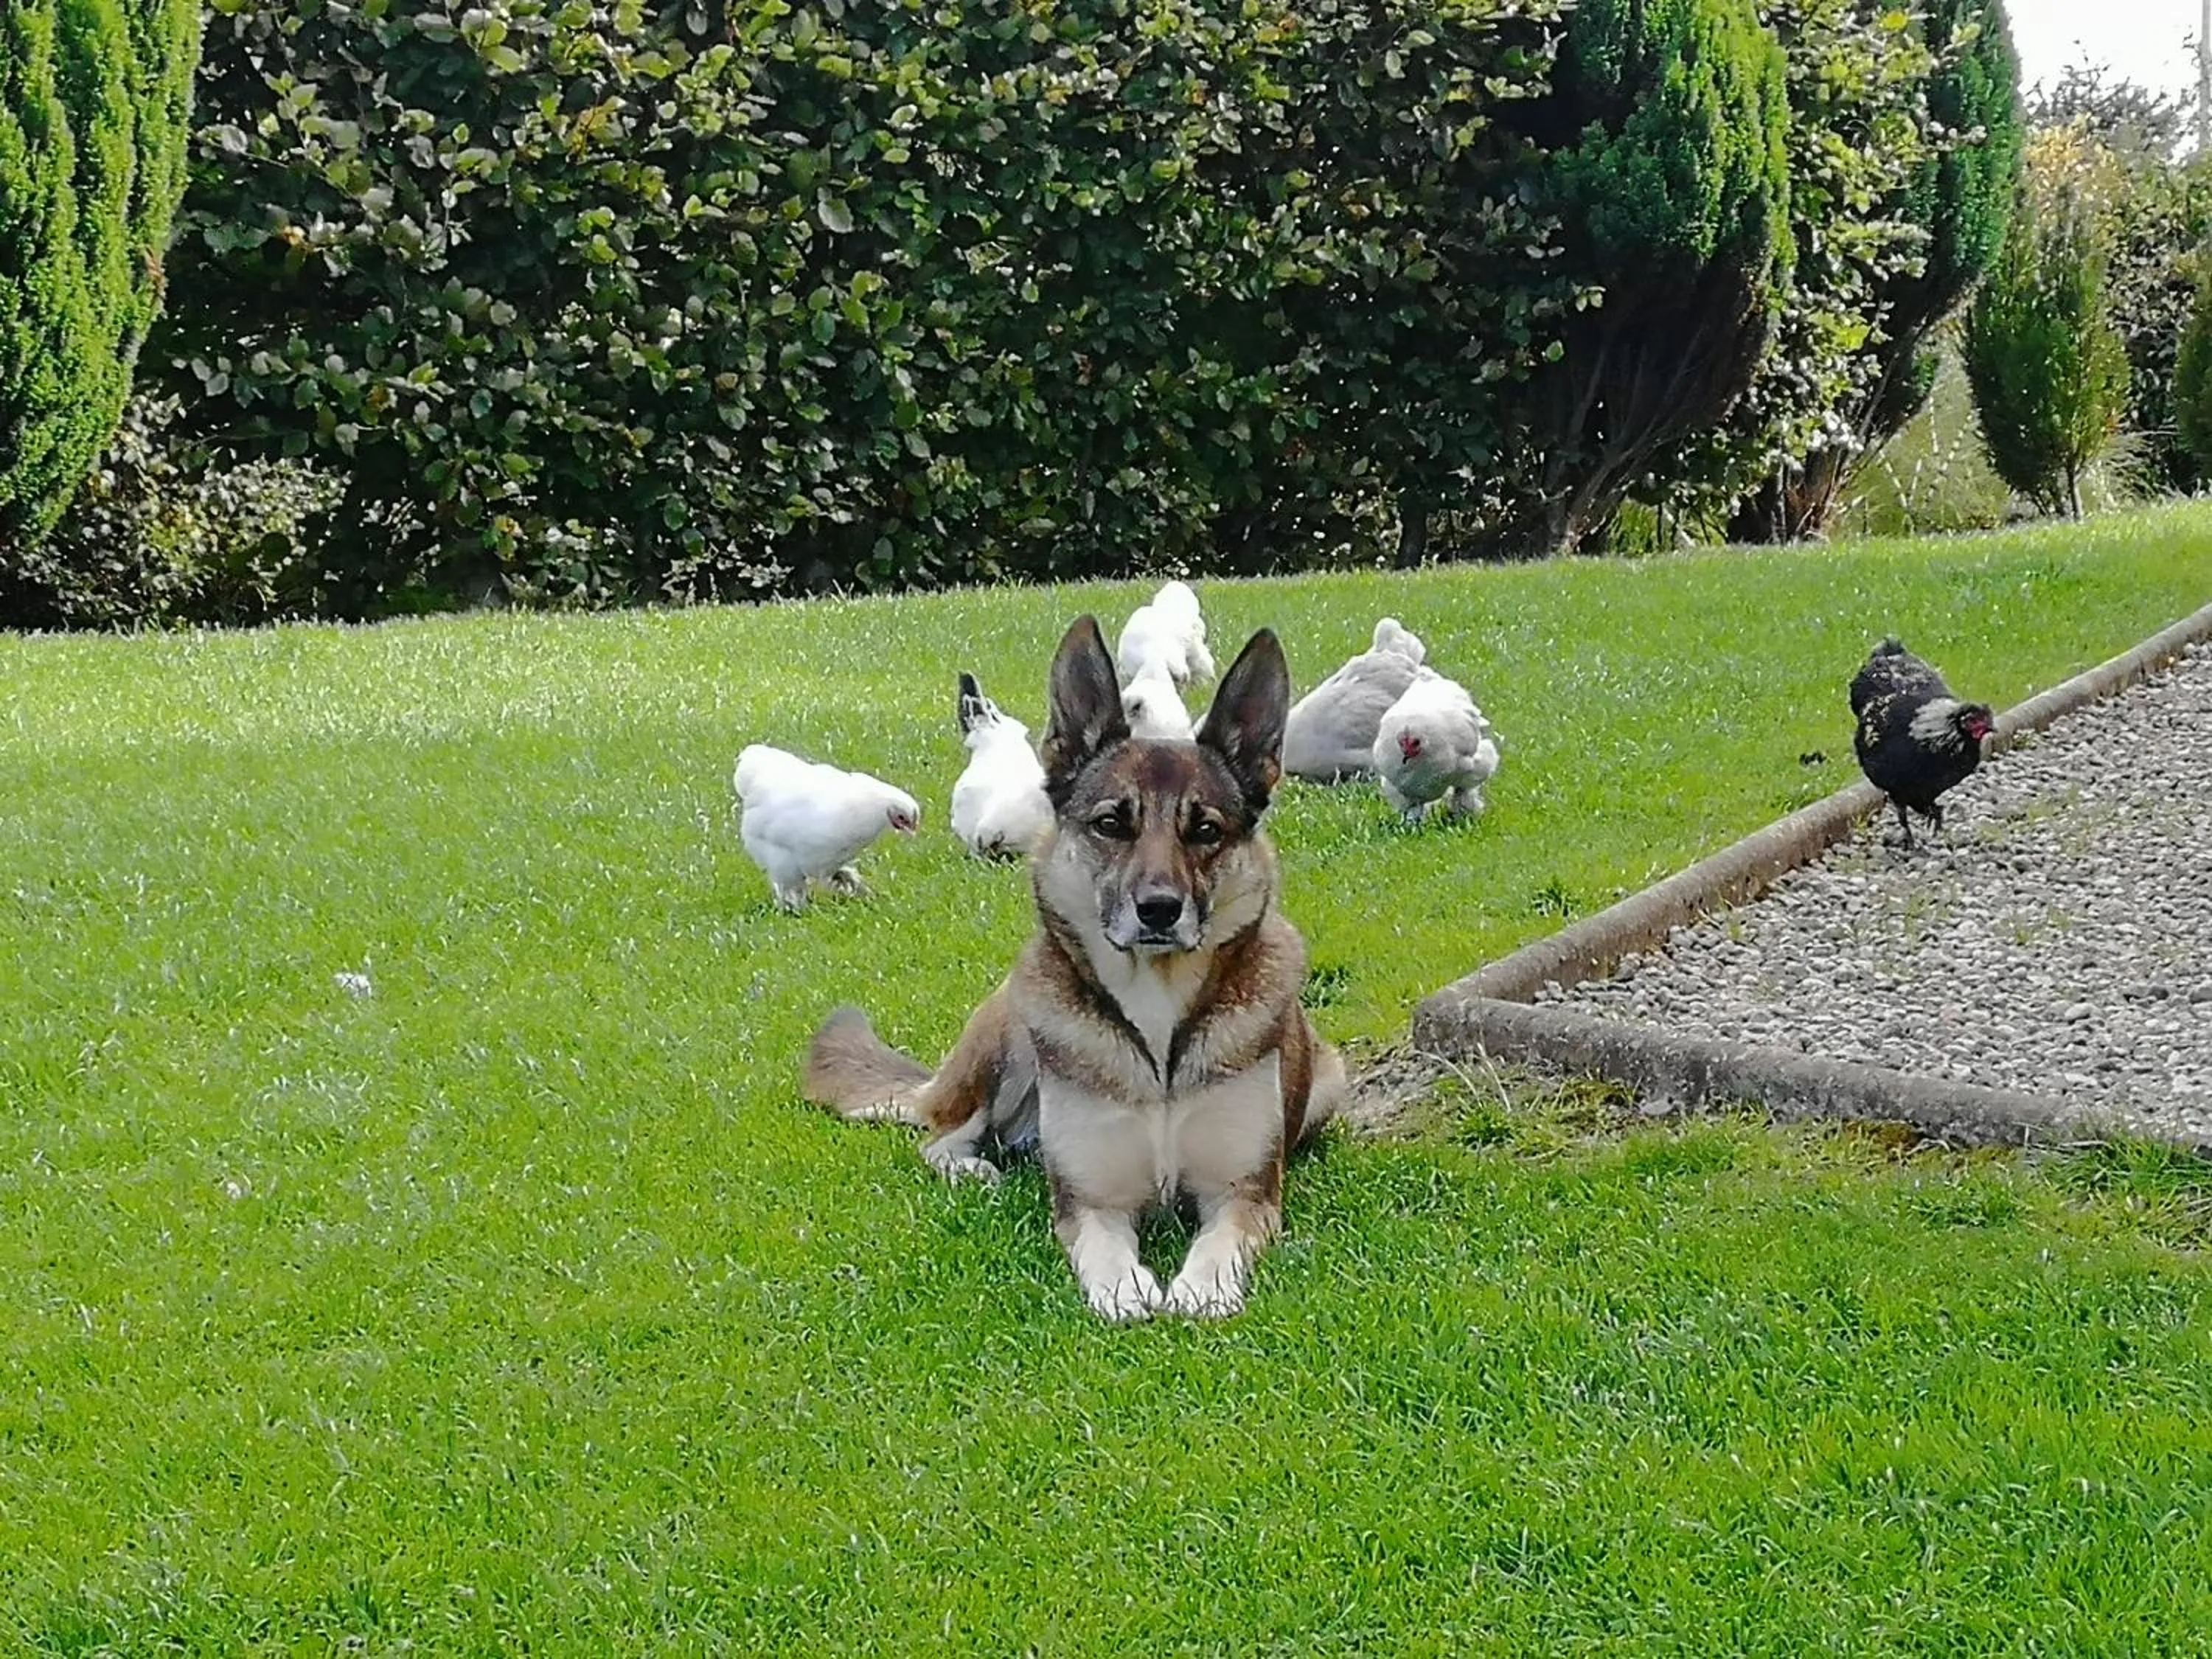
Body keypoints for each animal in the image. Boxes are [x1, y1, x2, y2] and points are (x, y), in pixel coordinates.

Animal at [803, 614, 1344, 1321]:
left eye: (1206, 830)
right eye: (1111, 823)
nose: (1160, 910)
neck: (1156, 1021)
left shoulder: (1243, 1194)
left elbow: (1219, 1244)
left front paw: (1201, 1287)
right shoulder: (1091, 1203)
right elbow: (1104, 1251)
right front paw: (1125, 1287)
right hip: (1008, 1036)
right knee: (940, 1136)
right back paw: (976, 1167)